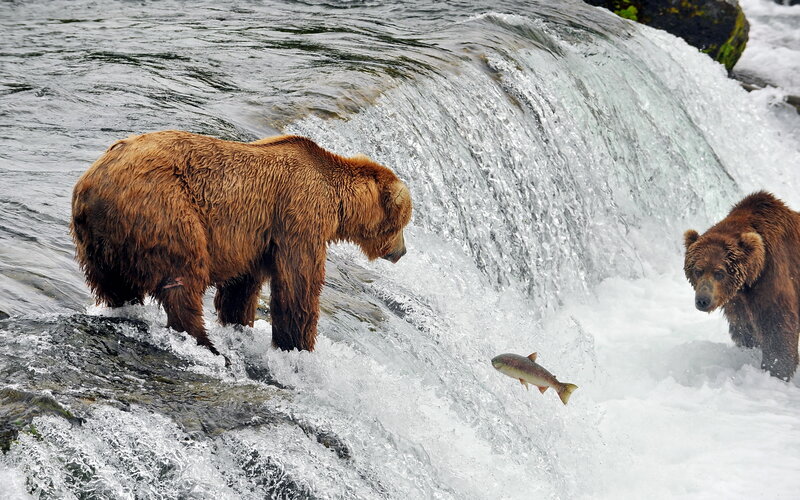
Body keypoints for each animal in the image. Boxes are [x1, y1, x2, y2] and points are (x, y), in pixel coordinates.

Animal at [71, 130, 412, 355]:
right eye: (403, 223)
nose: (402, 251)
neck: (337, 204)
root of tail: (90, 182)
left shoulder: (257, 238)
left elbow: (242, 287)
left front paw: (239, 322)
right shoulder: (298, 215)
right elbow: (298, 284)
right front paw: (298, 344)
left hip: (100, 240)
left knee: (114, 285)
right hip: (163, 208)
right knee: (183, 278)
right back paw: (205, 343)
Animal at [683, 191, 800, 380]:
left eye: (719, 273)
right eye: (698, 270)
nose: (702, 300)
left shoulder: (773, 275)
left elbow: (778, 324)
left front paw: (775, 369)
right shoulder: (736, 299)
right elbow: (744, 327)